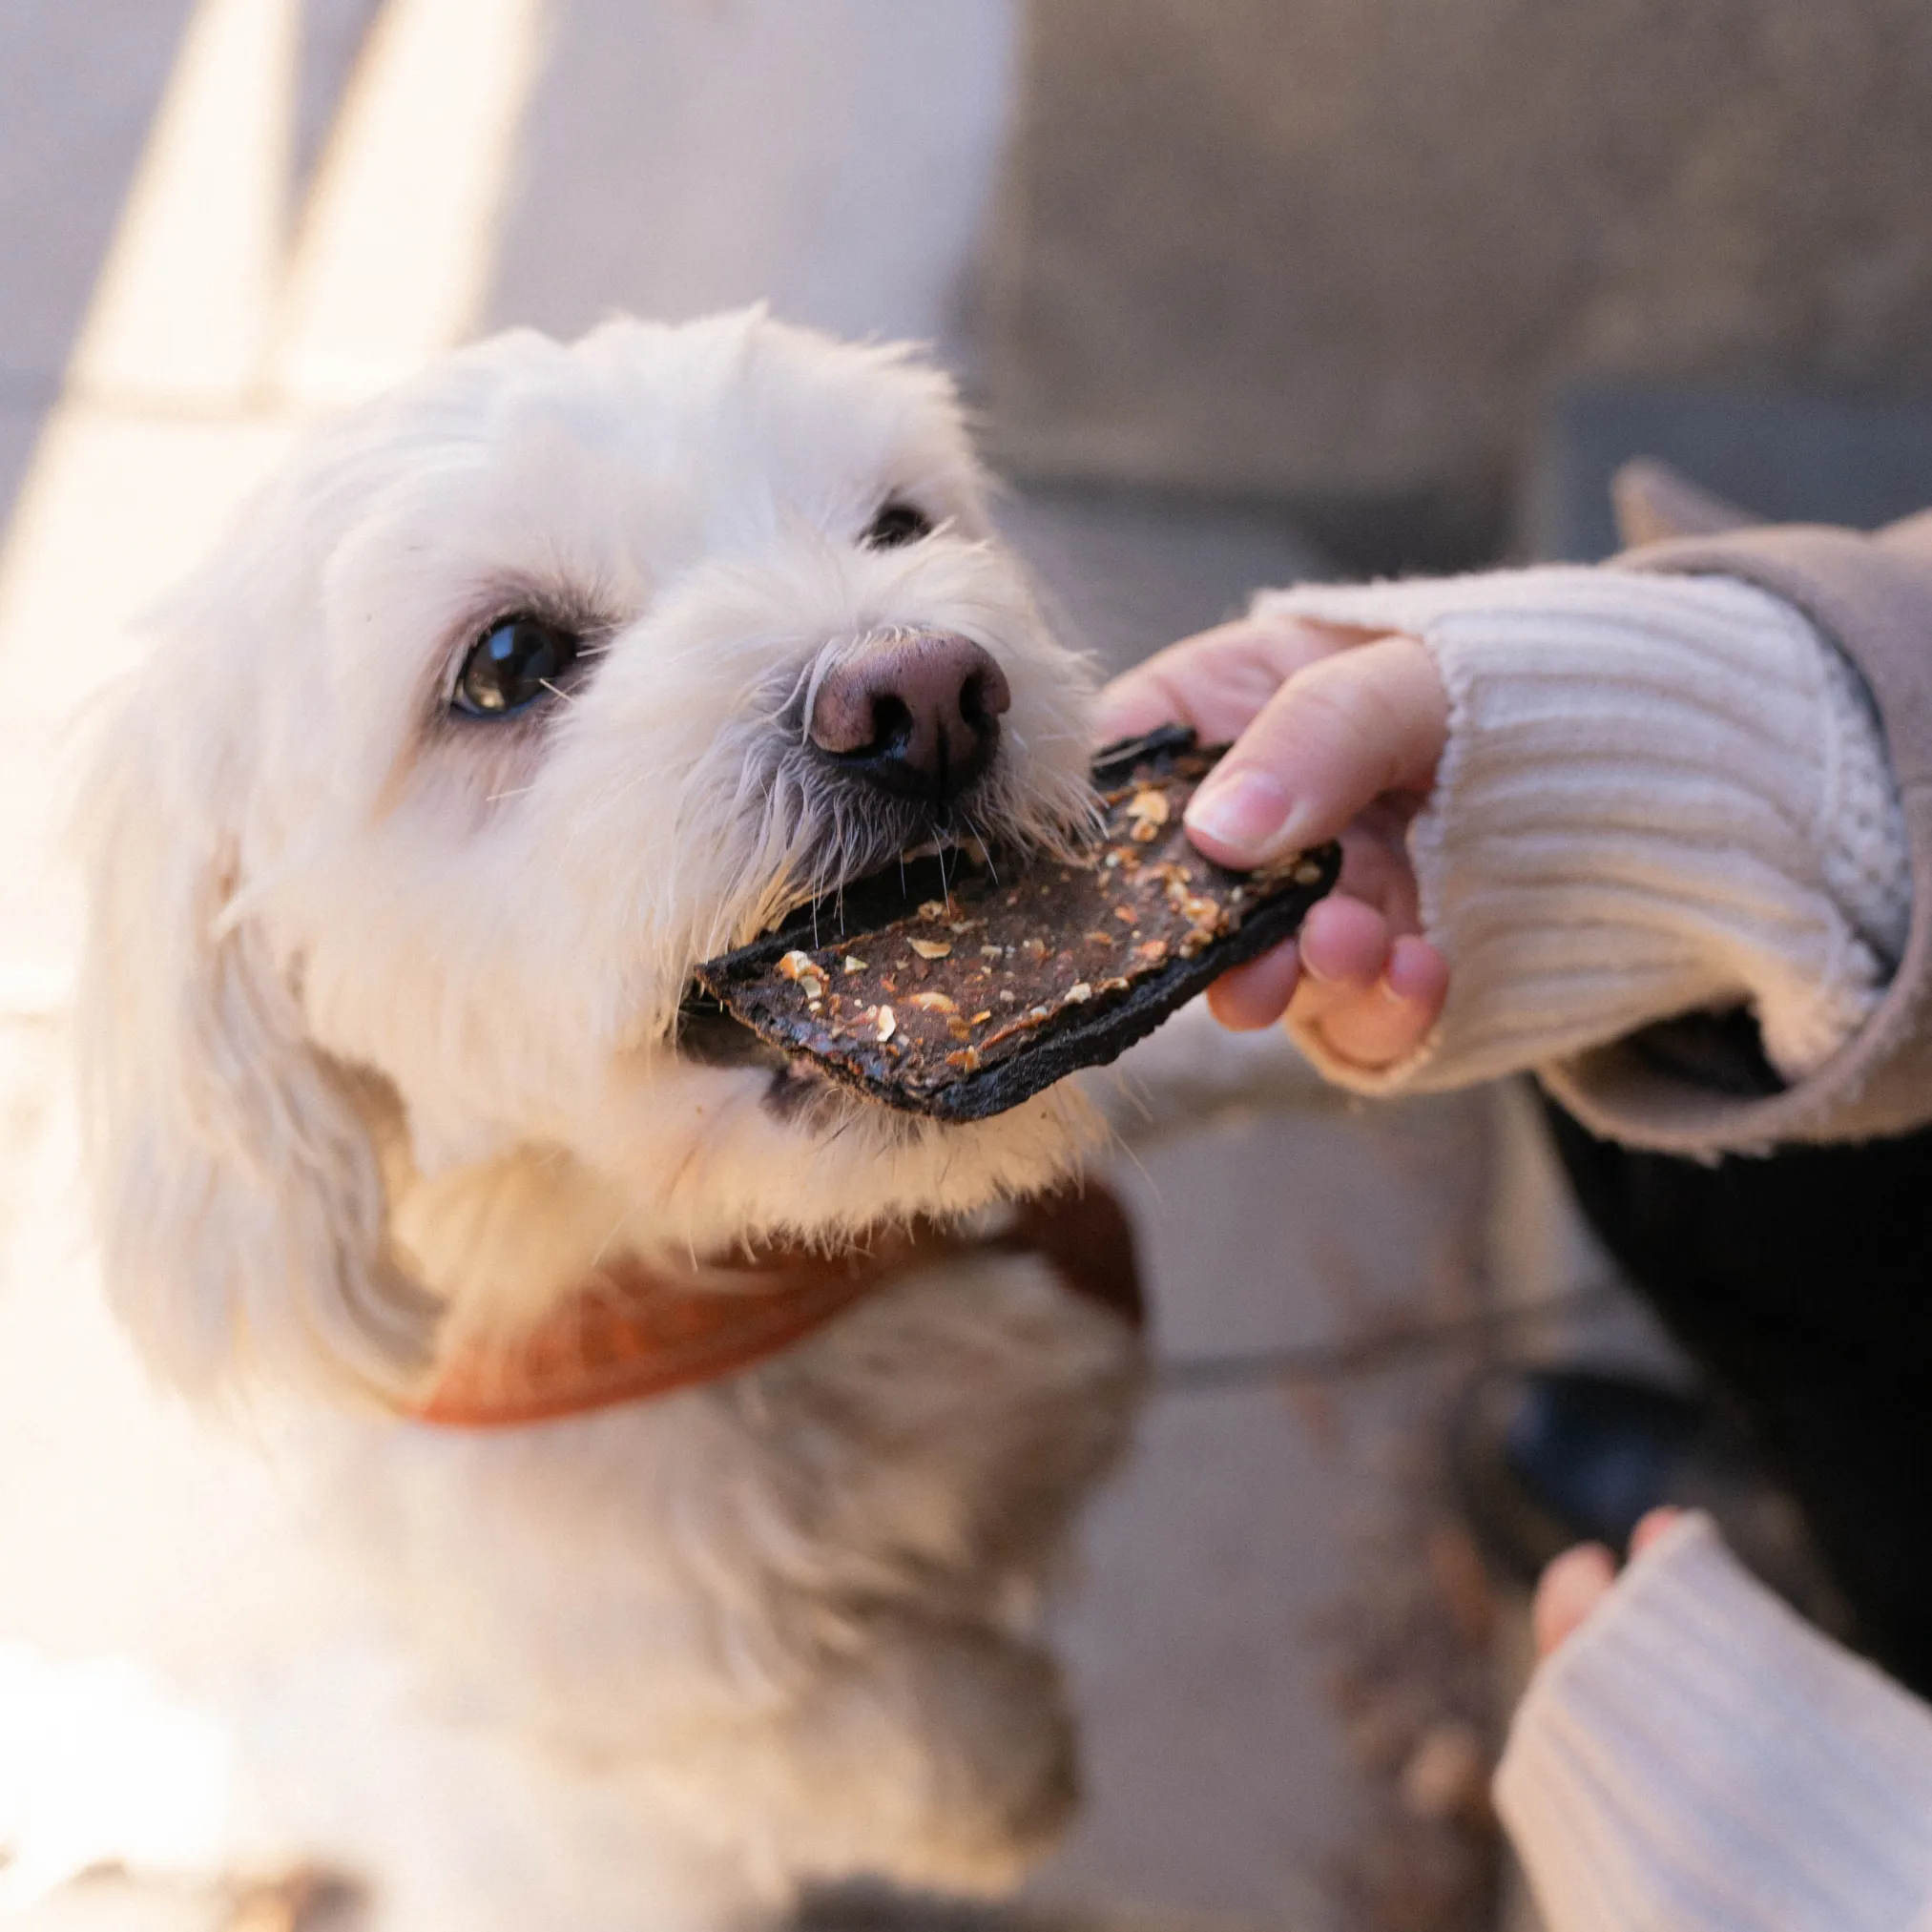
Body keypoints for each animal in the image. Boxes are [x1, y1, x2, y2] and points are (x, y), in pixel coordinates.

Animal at [74, 309, 1151, 1923]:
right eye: (508, 661)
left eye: (902, 525)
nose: (924, 691)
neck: (736, 1284)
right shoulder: (591, 1693)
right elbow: (874, 1736)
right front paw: (1001, 1772)